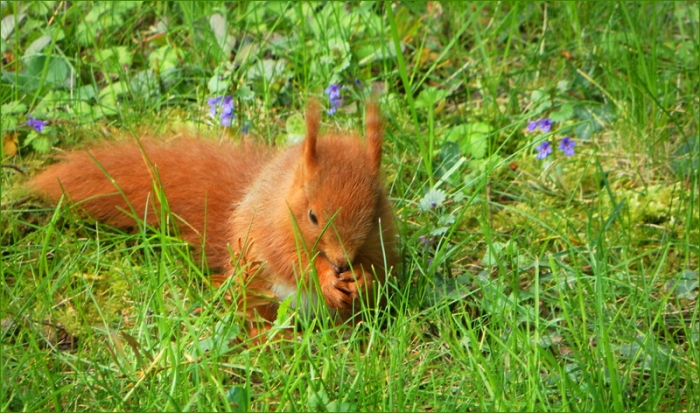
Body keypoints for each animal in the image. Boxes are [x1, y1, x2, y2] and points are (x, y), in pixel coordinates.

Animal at [28, 100, 398, 333]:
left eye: (374, 215)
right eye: (311, 216)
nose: (341, 260)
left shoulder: (382, 240)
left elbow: (380, 266)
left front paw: (361, 277)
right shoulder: (272, 230)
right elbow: (291, 261)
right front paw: (325, 278)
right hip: (254, 284)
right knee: (256, 317)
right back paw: (273, 339)